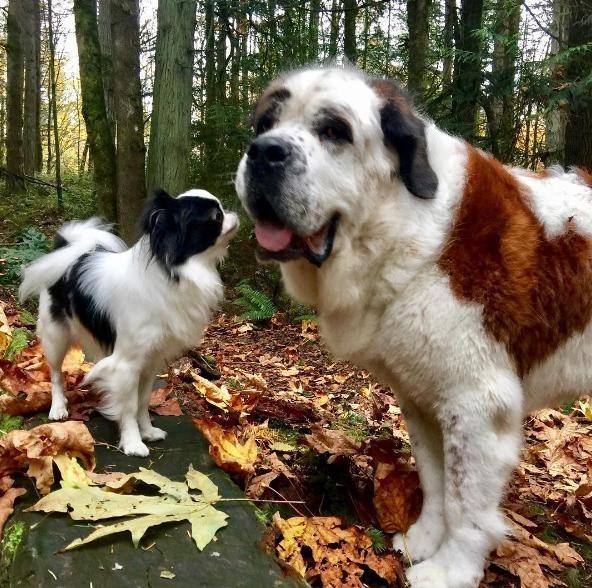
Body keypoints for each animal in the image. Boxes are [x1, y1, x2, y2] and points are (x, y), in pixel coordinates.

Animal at [20, 188, 238, 454]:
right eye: (216, 217)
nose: (233, 213)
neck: (175, 272)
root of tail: (72, 250)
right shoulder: (127, 364)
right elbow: (129, 405)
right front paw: (133, 442)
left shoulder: (150, 362)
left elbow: (142, 401)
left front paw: (148, 431)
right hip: (56, 336)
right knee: (56, 374)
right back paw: (58, 407)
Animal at [235, 66, 592, 584]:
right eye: (264, 125)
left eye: (334, 131)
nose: (264, 152)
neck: (406, 228)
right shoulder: (422, 397)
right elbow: (435, 479)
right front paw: (424, 540)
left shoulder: (476, 404)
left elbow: (466, 503)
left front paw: (450, 570)